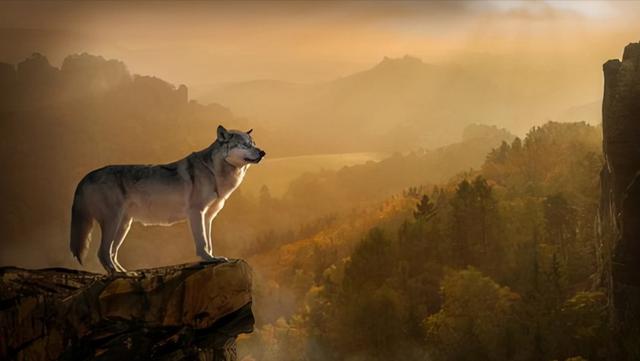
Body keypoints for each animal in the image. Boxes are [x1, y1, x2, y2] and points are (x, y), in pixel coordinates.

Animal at [71, 125, 266, 272]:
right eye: (245, 145)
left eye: (254, 144)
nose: (263, 152)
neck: (214, 172)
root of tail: (86, 176)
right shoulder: (196, 212)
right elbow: (202, 242)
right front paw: (208, 259)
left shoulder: (208, 216)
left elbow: (209, 242)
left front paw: (213, 257)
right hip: (113, 222)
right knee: (103, 252)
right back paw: (121, 275)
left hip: (124, 225)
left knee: (112, 252)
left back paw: (125, 272)